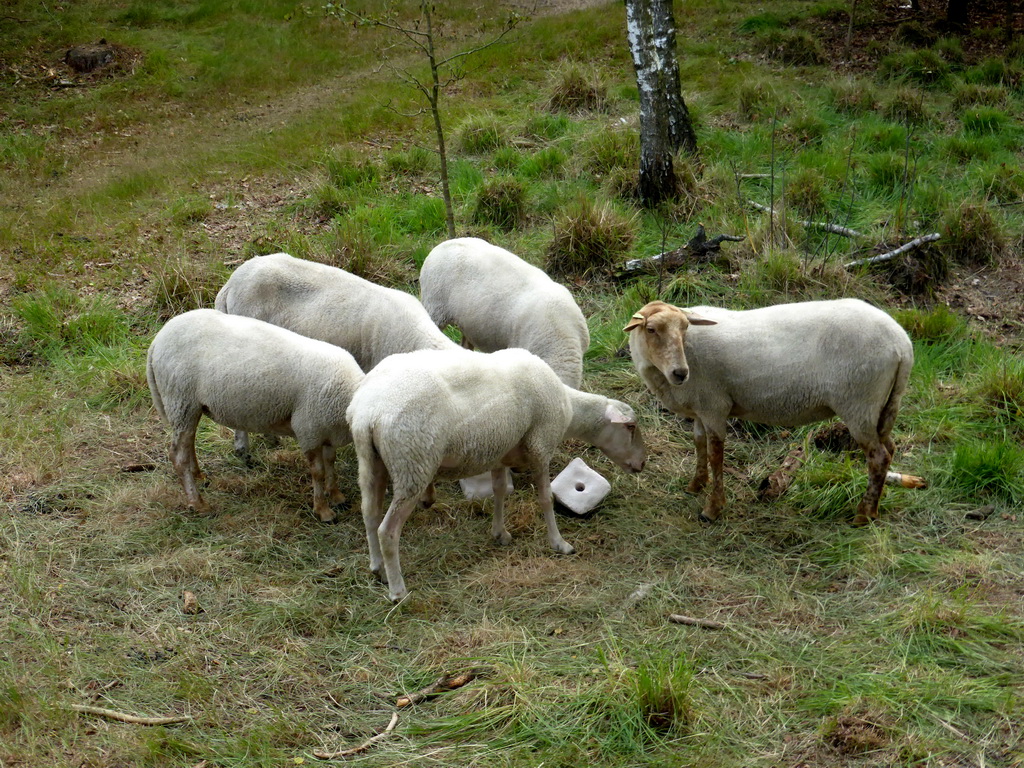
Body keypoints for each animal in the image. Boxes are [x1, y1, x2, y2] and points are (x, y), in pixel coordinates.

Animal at [145, 309, 364, 528]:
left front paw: (336, 496)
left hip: (190, 406)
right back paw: (198, 503)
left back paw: (198, 475)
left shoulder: (326, 430)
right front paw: (323, 510)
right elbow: (318, 471)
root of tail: (157, 340)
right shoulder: (309, 430)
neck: (348, 394)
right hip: (180, 398)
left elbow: (331, 462)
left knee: (188, 442)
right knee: (177, 455)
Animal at [348, 346, 643, 606]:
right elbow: (545, 499)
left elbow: (500, 491)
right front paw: (559, 543)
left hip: (371, 463)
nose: (642, 463)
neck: (568, 406)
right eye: (630, 427)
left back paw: (377, 568)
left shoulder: (501, 451)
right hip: (412, 462)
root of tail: (368, 412)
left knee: (369, 514)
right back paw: (398, 590)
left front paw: (500, 533)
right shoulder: (541, 446)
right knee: (388, 530)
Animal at [622, 296, 913, 528]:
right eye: (651, 329)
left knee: (878, 457)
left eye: (684, 328)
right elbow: (699, 444)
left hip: (859, 404)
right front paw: (696, 485)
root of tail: (902, 344)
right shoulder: (701, 408)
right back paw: (874, 508)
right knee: (889, 449)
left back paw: (863, 515)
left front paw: (712, 509)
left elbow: (716, 455)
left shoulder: (714, 406)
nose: (681, 373)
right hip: (882, 407)